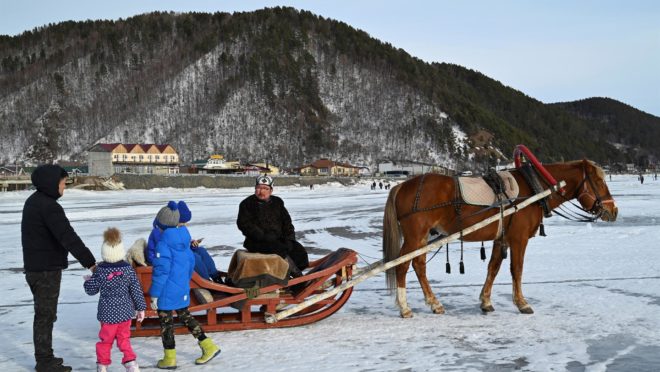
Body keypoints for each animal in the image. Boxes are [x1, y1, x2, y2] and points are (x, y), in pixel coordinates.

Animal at [382, 158, 620, 318]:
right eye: (599, 181)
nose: (613, 210)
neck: (534, 188)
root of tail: (401, 185)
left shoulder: (501, 238)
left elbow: (493, 268)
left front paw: (486, 301)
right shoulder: (519, 239)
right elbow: (517, 269)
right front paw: (522, 303)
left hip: (421, 239)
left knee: (419, 265)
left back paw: (433, 303)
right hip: (414, 237)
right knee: (402, 266)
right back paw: (405, 307)